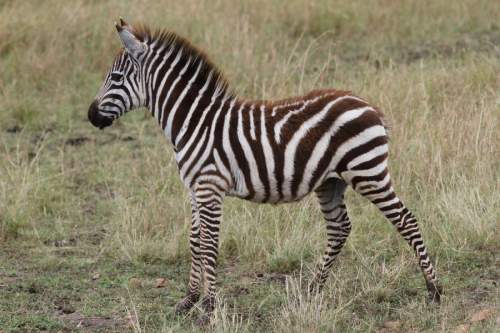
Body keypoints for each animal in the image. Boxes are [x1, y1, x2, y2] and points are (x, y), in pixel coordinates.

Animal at [89, 19, 442, 316]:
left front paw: (209, 307)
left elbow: (210, 244)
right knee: (340, 228)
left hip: (368, 172)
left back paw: (434, 290)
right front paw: (188, 300)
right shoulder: (194, 188)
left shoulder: (210, 187)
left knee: (407, 221)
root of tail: (368, 106)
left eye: (116, 78)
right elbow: (195, 241)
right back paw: (312, 289)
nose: (91, 116)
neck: (195, 123)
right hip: (330, 182)